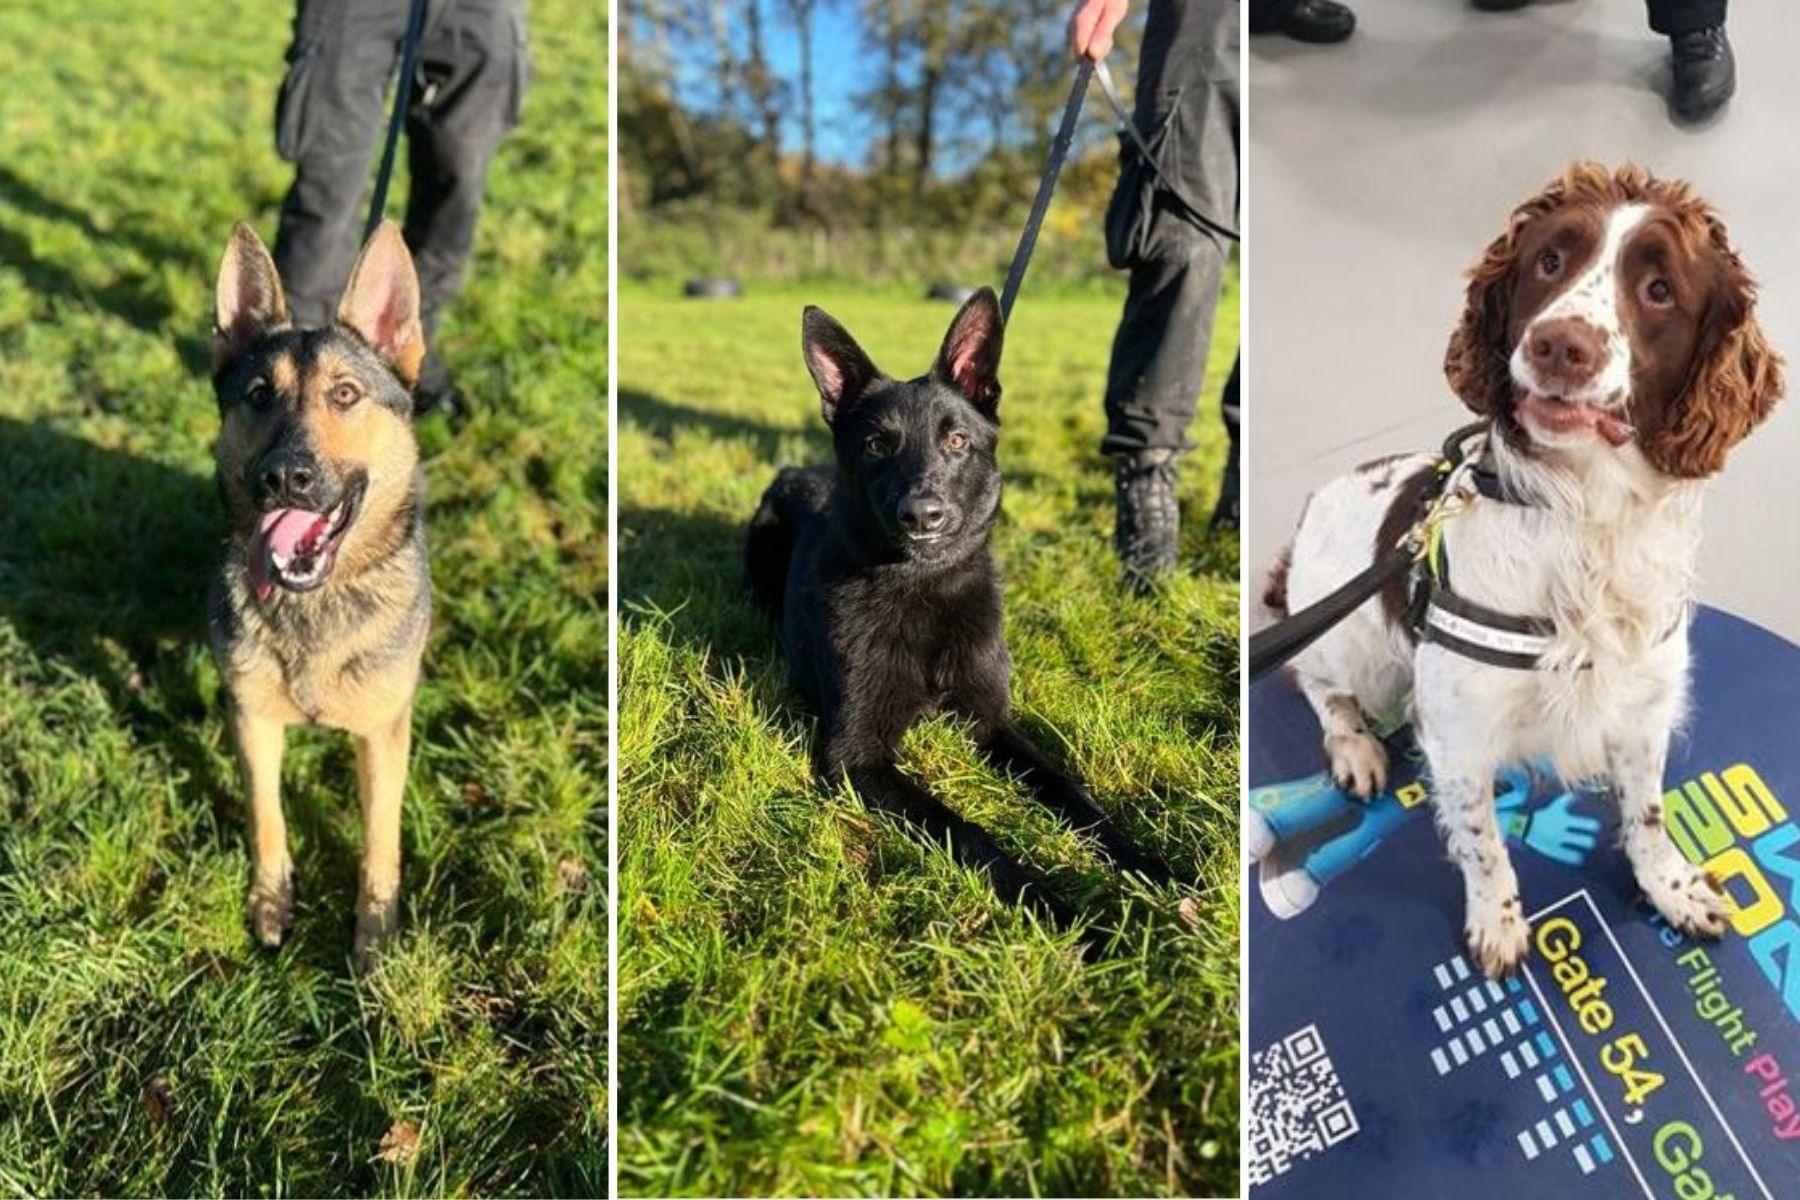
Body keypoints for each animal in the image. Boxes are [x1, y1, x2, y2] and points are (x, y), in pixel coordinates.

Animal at [207, 223, 432, 978]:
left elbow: (381, 835)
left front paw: (375, 933)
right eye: (256, 395)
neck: (313, 606)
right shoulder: (251, 719)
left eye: (345, 394)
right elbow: (265, 810)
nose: (285, 477)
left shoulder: (385, 734)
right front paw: (271, 900)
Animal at [745, 286, 1180, 928]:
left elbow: (1073, 793)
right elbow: (967, 831)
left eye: (956, 442)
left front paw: (1148, 865)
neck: (925, 593)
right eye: (876, 446)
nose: (923, 515)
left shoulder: (992, 723)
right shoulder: (857, 756)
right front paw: (1058, 910)